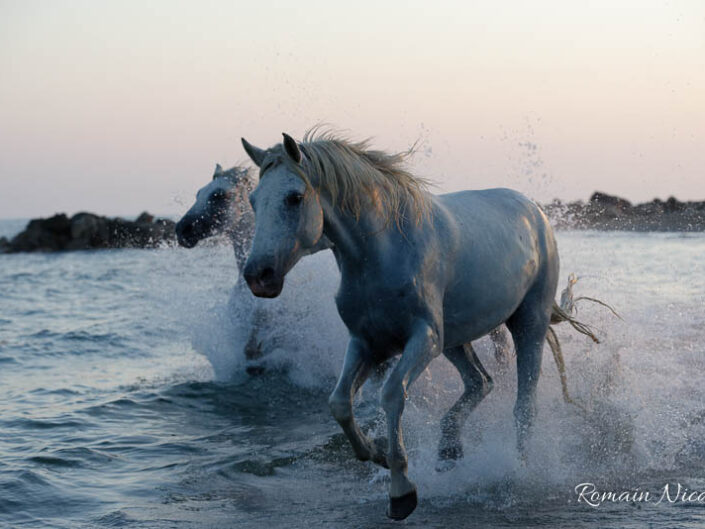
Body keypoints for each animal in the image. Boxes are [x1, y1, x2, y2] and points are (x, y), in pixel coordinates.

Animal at [242, 130, 560, 516]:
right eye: (253, 200)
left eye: (294, 197)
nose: (258, 276)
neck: (383, 252)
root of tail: (535, 212)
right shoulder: (367, 342)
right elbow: (339, 402)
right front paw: (375, 453)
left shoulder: (423, 339)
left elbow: (392, 393)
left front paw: (401, 490)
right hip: (456, 339)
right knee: (480, 382)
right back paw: (448, 451)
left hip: (529, 324)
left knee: (524, 406)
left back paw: (517, 471)